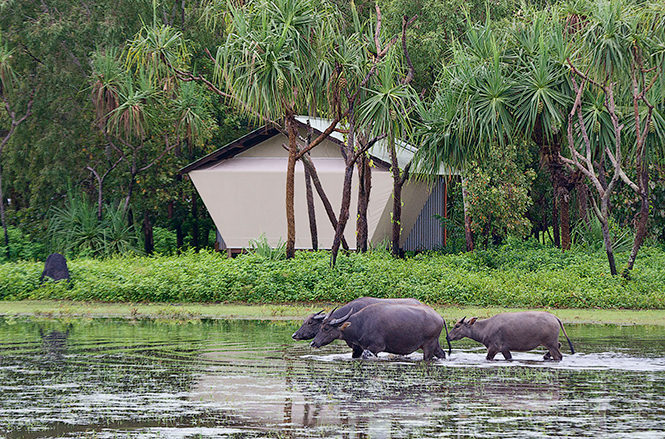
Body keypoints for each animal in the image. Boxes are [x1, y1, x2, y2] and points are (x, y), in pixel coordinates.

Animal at [308, 302, 448, 360]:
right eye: (320, 327)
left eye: (326, 328)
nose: (313, 343)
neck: (361, 324)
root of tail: (440, 317)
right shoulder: (359, 348)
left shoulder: (376, 348)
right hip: (434, 344)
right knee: (442, 354)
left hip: (429, 345)